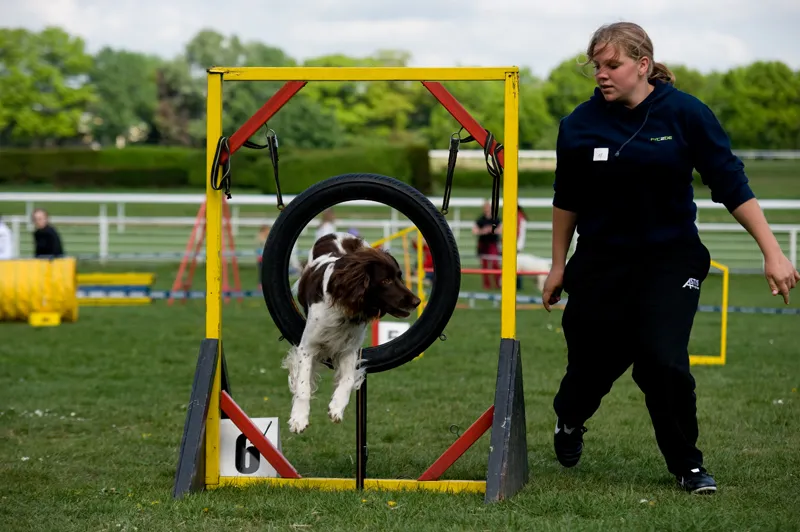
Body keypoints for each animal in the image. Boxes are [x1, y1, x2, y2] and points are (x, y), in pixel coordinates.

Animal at [284, 232, 422, 432]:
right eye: (386, 280)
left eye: (399, 276)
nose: (417, 301)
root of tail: (335, 234)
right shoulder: (307, 347)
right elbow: (303, 386)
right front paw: (299, 418)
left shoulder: (349, 349)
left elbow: (348, 379)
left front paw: (337, 407)